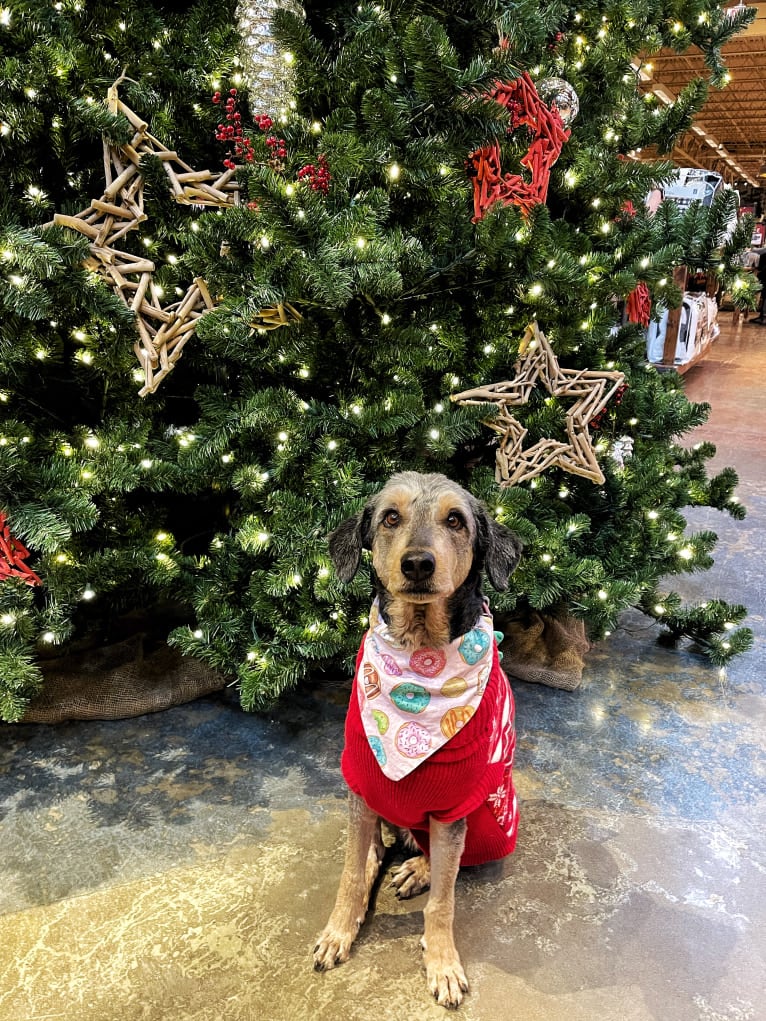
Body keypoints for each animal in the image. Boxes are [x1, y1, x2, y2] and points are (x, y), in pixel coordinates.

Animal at [314, 469, 527, 1004]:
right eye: (391, 516)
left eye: (456, 520)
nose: (416, 563)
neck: (419, 655)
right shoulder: (360, 786)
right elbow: (351, 874)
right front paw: (339, 931)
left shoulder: (452, 807)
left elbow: (444, 902)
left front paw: (443, 962)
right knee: (376, 850)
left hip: (481, 822)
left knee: (442, 860)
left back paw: (417, 870)